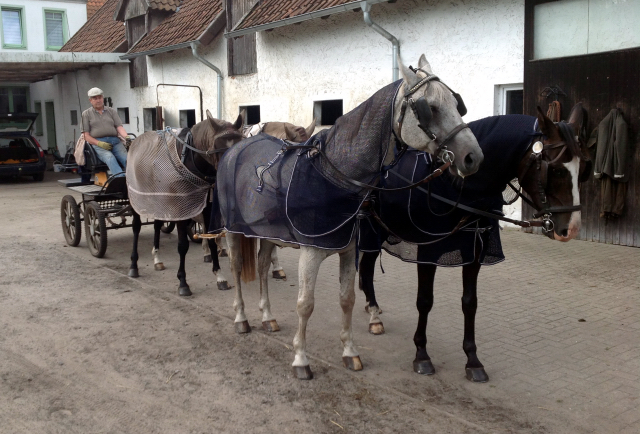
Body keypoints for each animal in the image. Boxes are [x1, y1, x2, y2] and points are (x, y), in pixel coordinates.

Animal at [215, 55, 484, 380]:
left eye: (457, 104)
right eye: (429, 107)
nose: (473, 157)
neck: (334, 176)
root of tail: (235, 149)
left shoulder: (347, 250)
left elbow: (347, 299)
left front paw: (350, 352)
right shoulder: (310, 252)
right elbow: (305, 304)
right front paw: (301, 358)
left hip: (267, 233)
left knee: (264, 266)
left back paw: (267, 315)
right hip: (233, 230)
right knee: (237, 267)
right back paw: (241, 317)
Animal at [358, 103, 592, 382]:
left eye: (584, 169)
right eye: (555, 170)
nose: (572, 229)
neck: (454, 186)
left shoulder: (475, 250)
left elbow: (470, 303)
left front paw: (472, 359)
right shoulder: (428, 251)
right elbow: (425, 301)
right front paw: (422, 355)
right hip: (370, 228)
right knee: (365, 266)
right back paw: (372, 314)